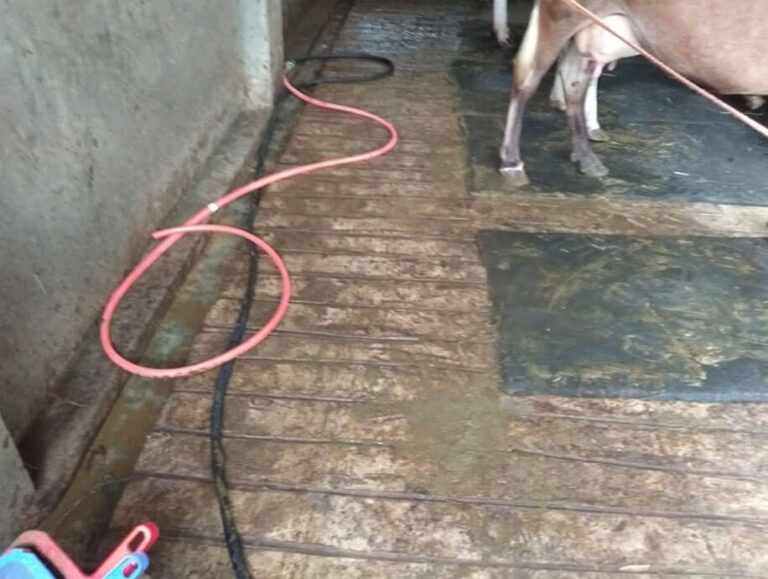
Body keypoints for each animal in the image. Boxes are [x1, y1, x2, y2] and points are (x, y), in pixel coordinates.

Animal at [498, 0, 768, 185]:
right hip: (563, 15)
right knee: (527, 79)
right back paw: (512, 162)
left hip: (592, 27)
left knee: (574, 81)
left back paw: (587, 158)